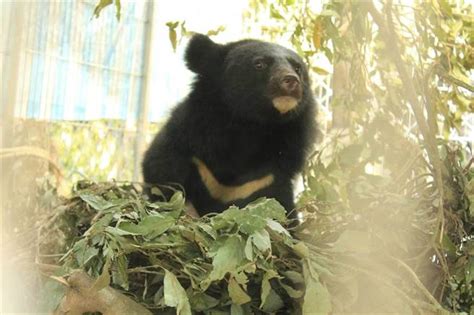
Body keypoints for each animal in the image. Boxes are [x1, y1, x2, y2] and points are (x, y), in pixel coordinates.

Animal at [143, 33, 316, 218]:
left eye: (298, 68)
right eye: (260, 64)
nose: (291, 81)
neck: (252, 125)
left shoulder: (269, 177)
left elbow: (281, 209)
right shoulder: (190, 141)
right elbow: (161, 172)